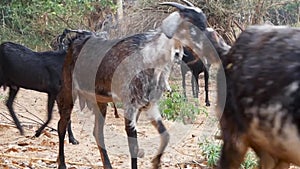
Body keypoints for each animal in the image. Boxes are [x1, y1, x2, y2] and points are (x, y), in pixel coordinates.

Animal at [55, 1, 206, 169]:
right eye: (192, 24)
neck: (149, 58)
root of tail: (72, 42)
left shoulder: (149, 105)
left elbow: (165, 135)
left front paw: (156, 162)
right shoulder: (130, 105)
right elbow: (133, 146)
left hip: (100, 101)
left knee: (97, 132)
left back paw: (107, 165)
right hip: (69, 92)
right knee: (61, 125)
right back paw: (62, 163)